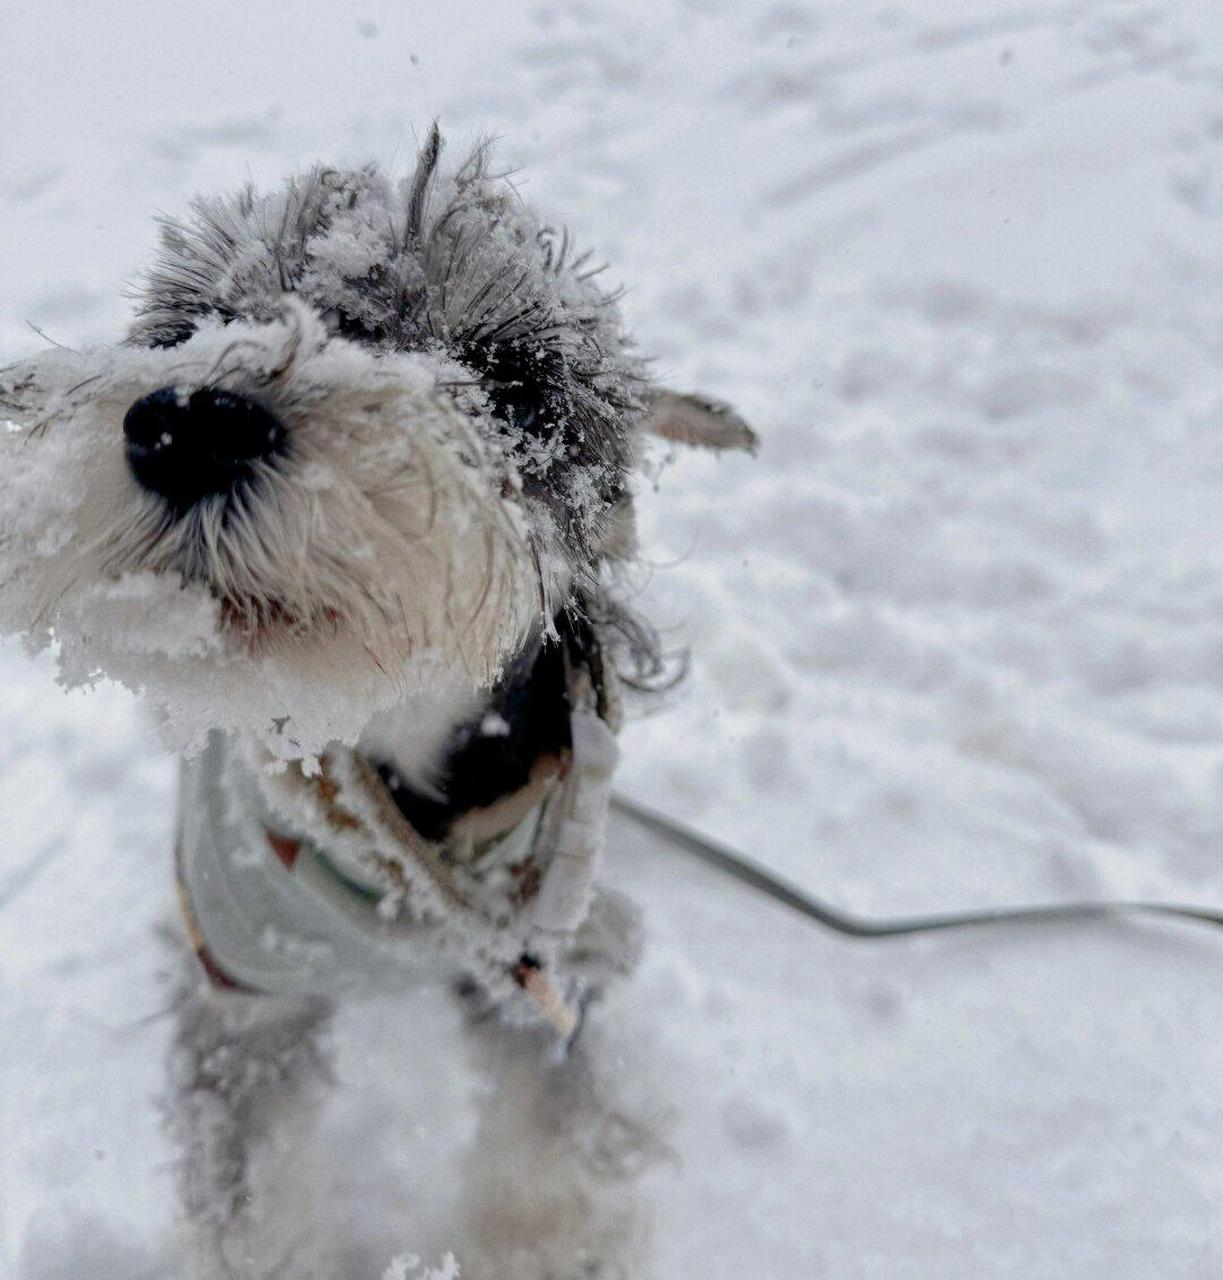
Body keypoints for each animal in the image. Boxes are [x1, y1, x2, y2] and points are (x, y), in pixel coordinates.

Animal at [0, 122, 758, 1280]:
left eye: (514, 382)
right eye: (187, 327)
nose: (193, 421)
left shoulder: (545, 966)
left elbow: (543, 1159)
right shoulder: (245, 994)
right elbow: (258, 1205)